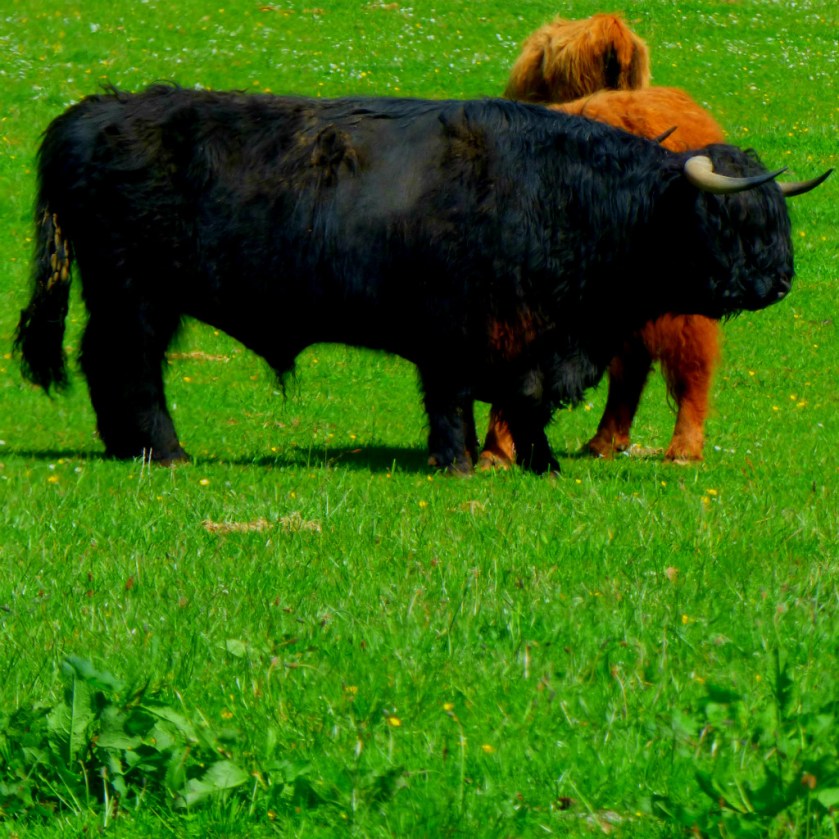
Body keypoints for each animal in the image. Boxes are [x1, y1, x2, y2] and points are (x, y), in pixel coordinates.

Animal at [14, 85, 828, 473]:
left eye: (779, 223)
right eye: (733, 222)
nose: (780, 282)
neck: (565, 196)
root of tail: (93, 111)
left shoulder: (536, 342)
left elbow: (525, 400)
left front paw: (537, 462)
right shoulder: (454, 333)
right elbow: (459, 400)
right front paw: (459, 461)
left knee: (104, 364)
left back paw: (126, 447)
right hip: (135, 300)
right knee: (129, 367)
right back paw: (163, 450)